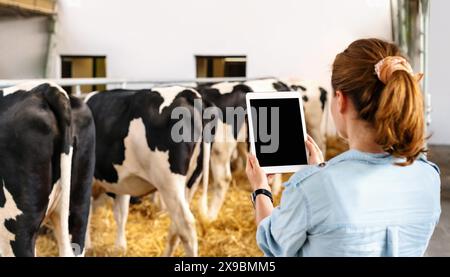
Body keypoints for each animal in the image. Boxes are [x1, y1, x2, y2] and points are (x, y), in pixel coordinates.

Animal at [86, 85, 213, 256]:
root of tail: (186, 92)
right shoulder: (122, 182)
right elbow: (121, 213)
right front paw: (120, 247)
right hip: (191, 181)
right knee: (175, 227)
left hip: (169, 184)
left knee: (186, 225)